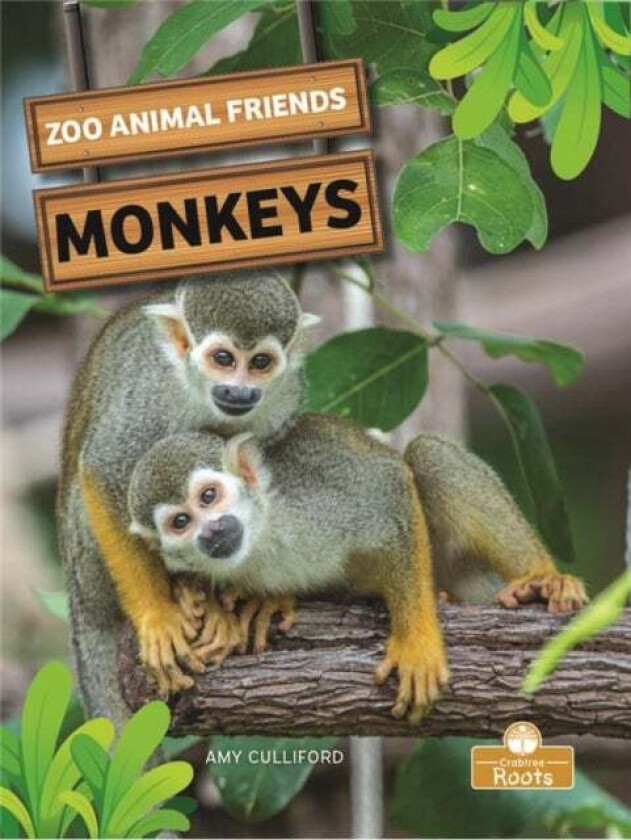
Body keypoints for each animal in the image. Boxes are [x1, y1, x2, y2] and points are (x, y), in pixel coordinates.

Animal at [57, 269, 319, 725]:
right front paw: (157, 614)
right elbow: (104, 470)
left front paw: (263, 593)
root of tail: (79, 600)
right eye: (223, 359)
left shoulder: (283, 395)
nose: (239, 392)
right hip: (86, 565)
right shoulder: (148, 393)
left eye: (261, 363)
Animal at [126, 416, 450, 723]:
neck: (262, 533)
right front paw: (211, 607)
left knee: (428, 455)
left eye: (208, 496)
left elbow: (391, 492)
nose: (212, 531)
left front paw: (416, 644)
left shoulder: (319, 499)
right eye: (180, 522)